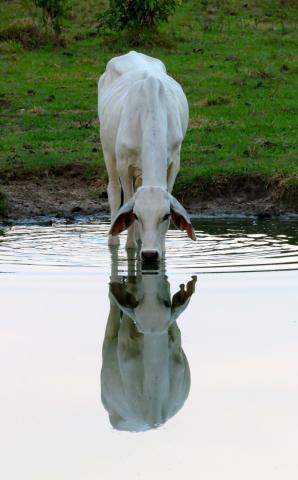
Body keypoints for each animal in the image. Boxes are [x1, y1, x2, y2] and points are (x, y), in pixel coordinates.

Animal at [98, 49, 196, 258]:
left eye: (166, 215)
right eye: (136, 215)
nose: (150, 254)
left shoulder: (174, 160)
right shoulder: (123, 163)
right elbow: (127, 197)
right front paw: (130, 247)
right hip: (107, 149)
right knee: (113, 189)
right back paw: (114, 241)